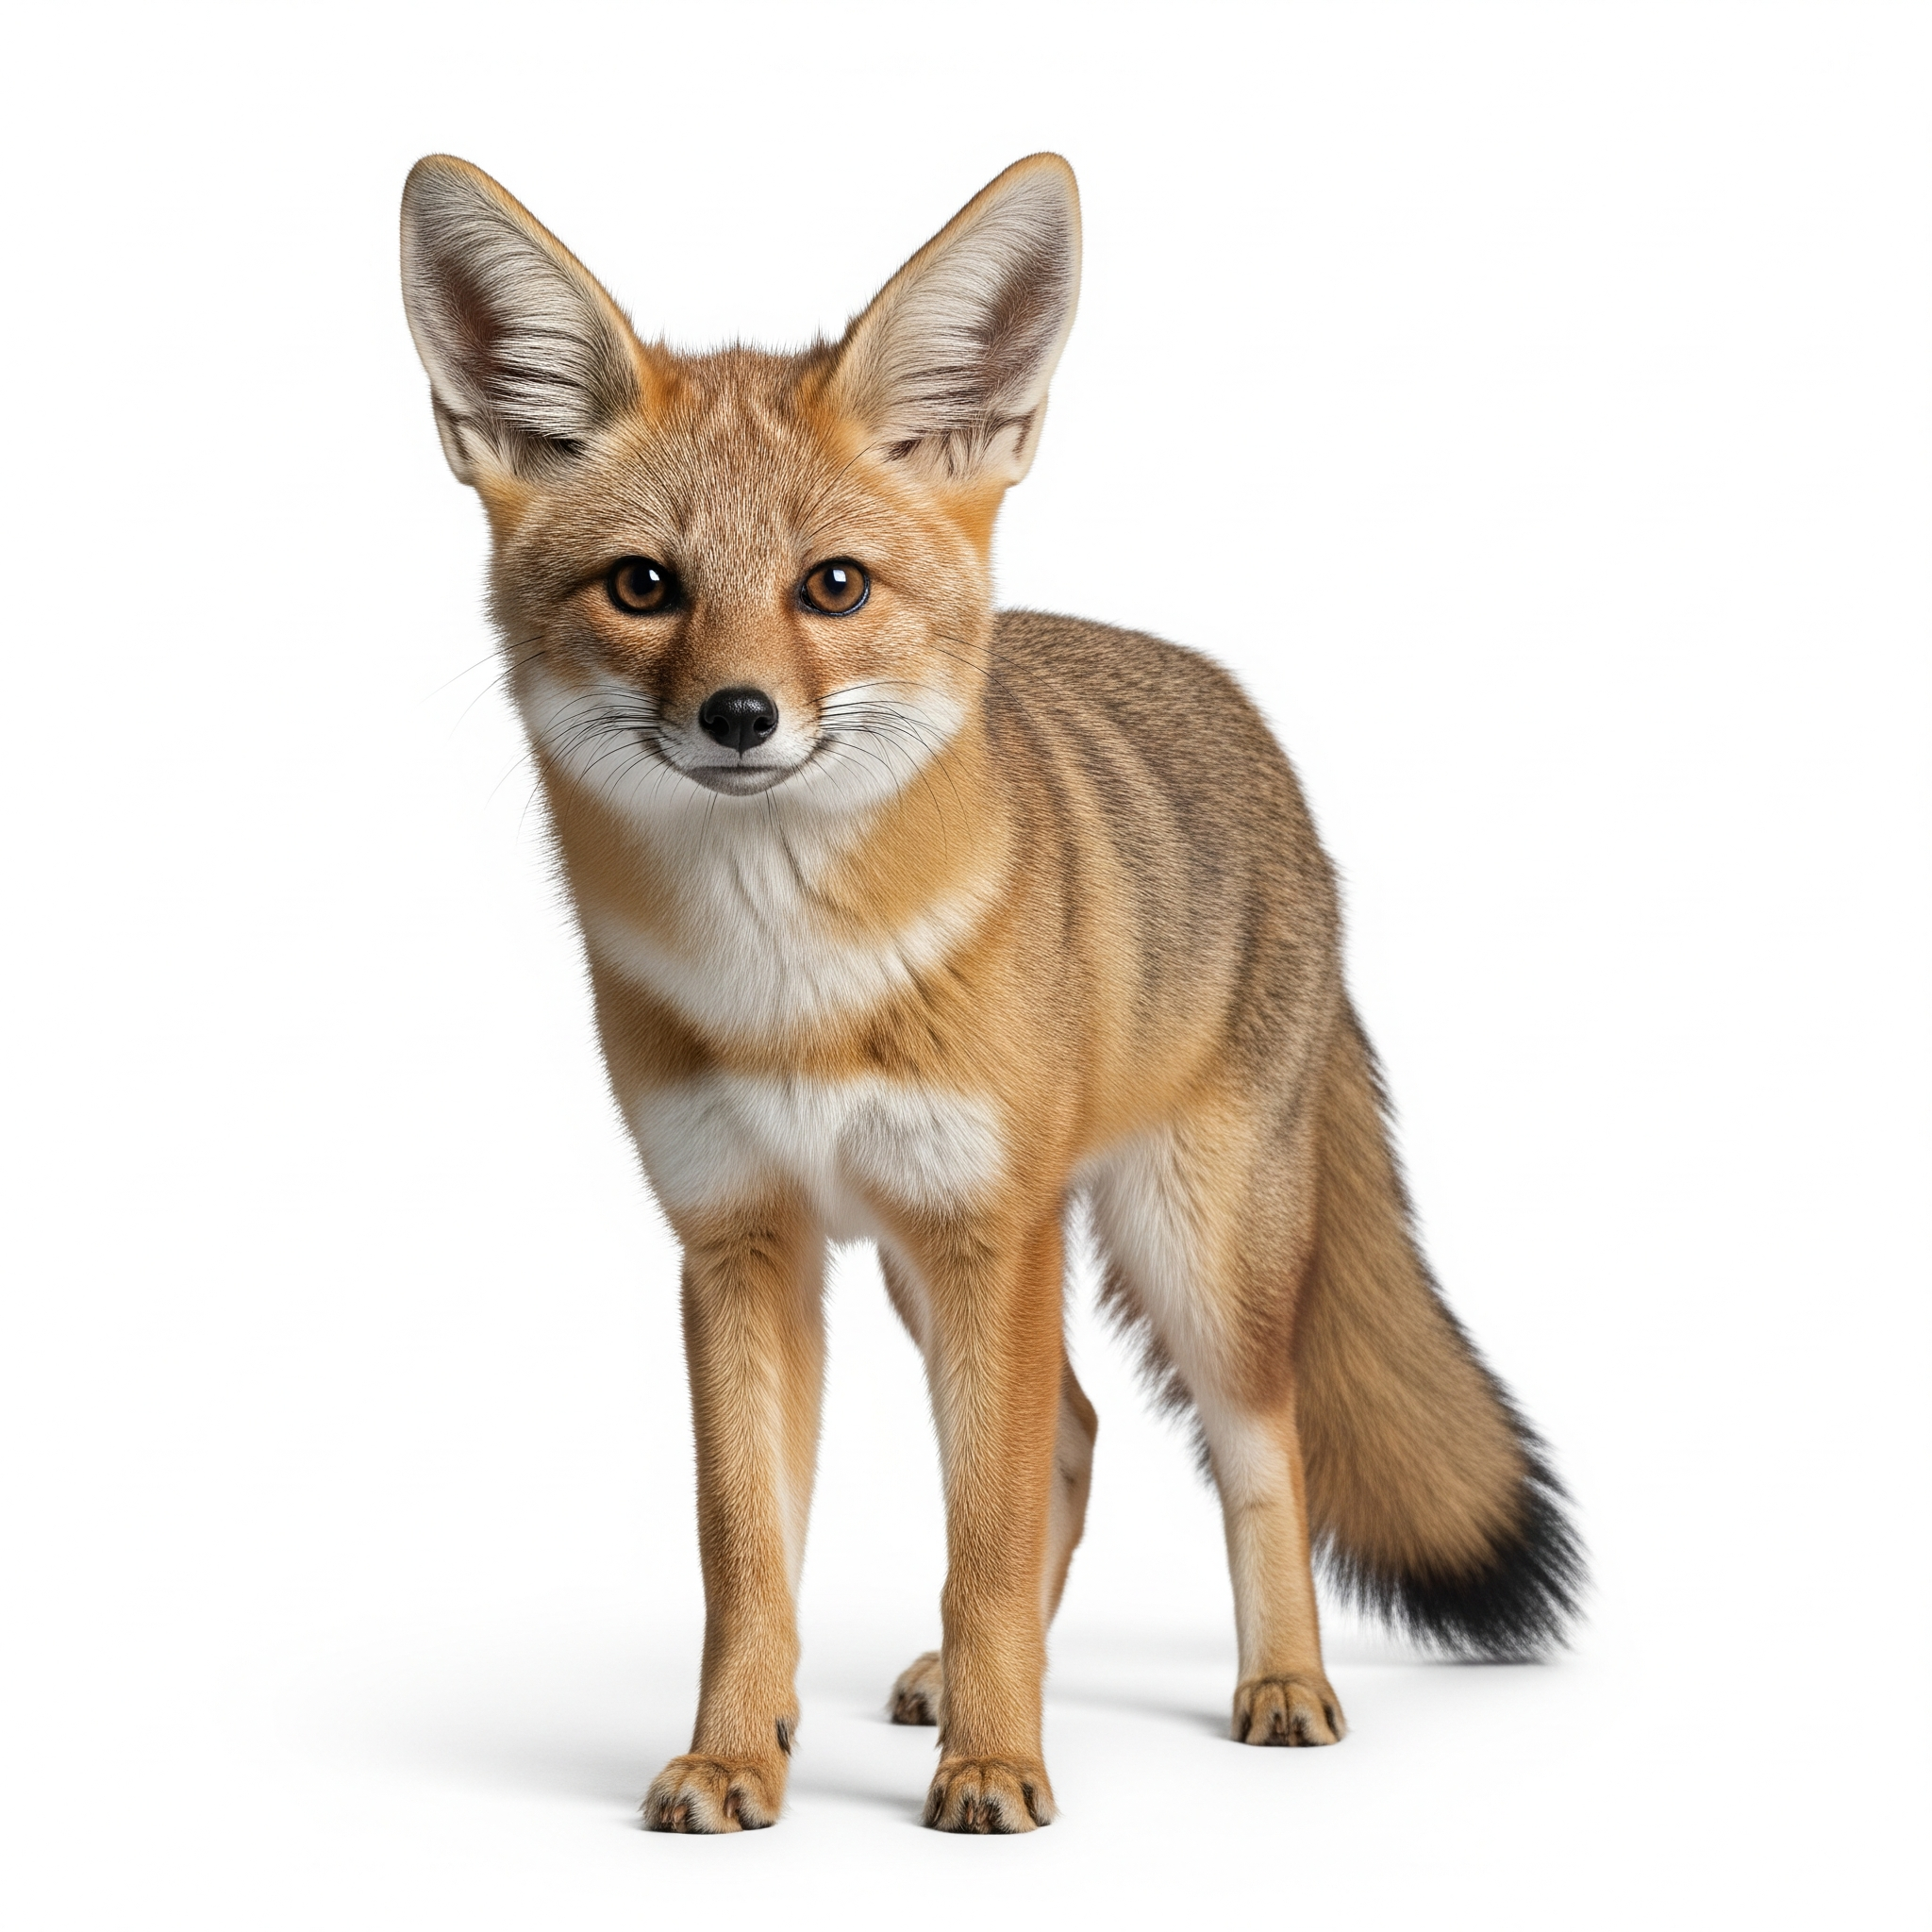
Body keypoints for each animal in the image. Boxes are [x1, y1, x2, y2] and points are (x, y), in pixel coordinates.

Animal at [398, 151, 1582, 1835]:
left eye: (833, 587)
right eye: (645, 586)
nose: (739, 716)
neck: (796, 993)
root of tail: (1249, 723)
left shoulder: (988, 1234)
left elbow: (988, 1543)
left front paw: (998, 1768)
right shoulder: (741, 1244)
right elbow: (749, 1562)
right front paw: (734, 1753)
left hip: (1187, 1250)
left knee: (1259, 1447)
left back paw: (1279, 1685)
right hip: (924, 1265)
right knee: (1079, 1433)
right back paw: (944, 1684)